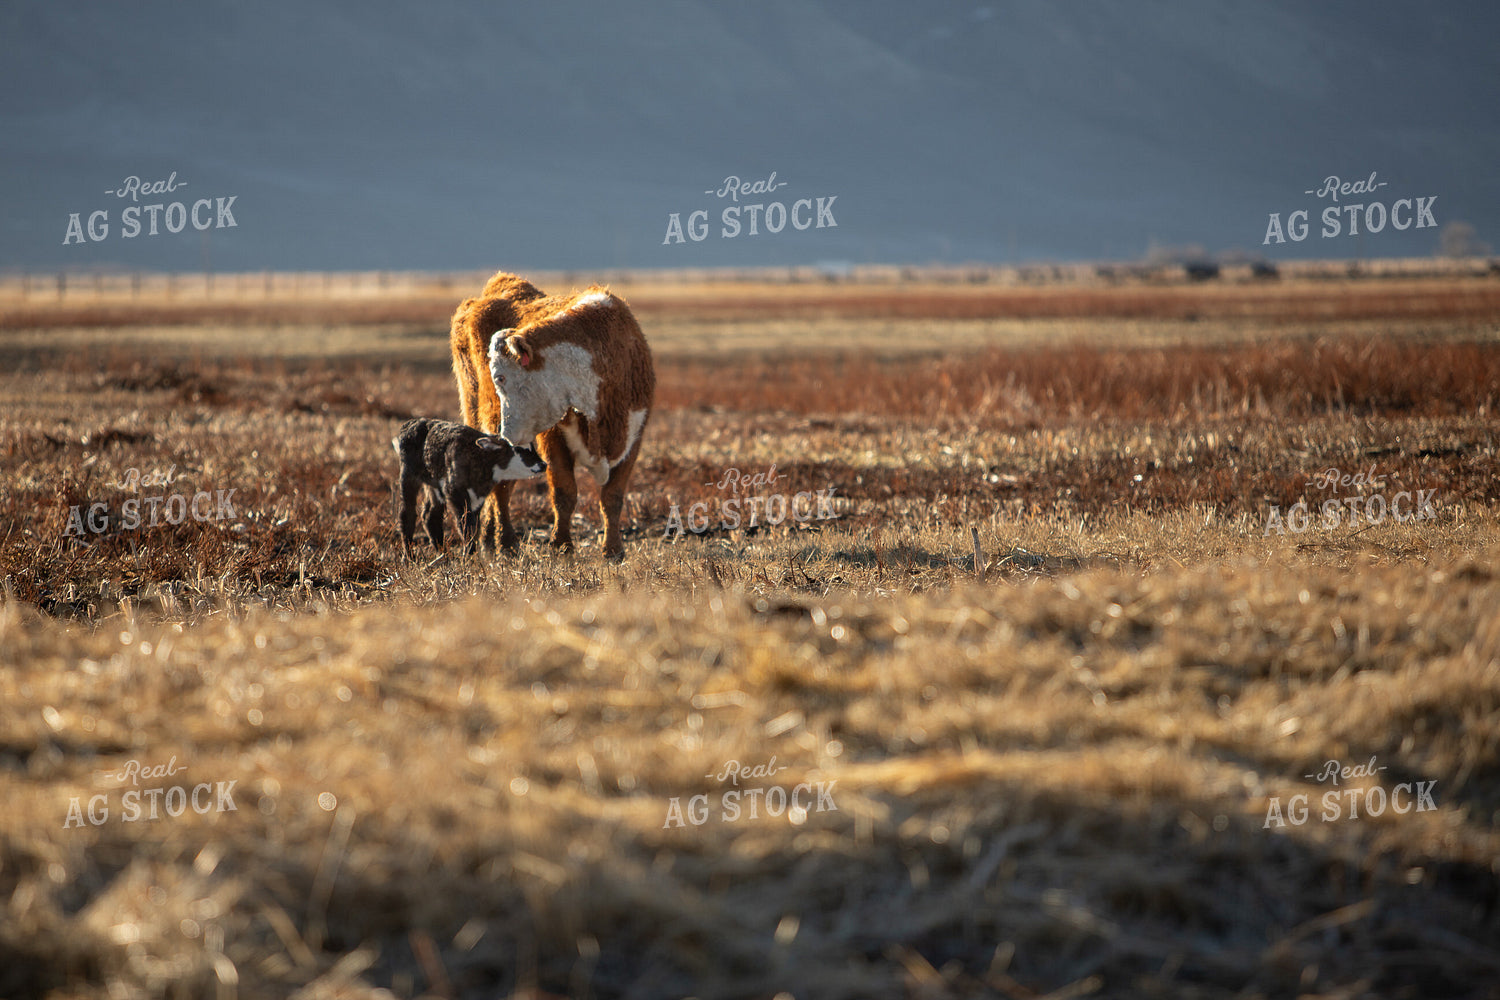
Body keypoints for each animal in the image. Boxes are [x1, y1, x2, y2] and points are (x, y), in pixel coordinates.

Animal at [450, 271, 655, 558]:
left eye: (500, 376)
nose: (505, 434)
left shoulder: (633, 436)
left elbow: (612, 497)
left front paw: (613, 550)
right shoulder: (553, 437)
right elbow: (564, 493)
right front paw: (562, 545)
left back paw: (490, 538)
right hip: (477, 411)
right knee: (502, 486)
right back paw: (505, 543)